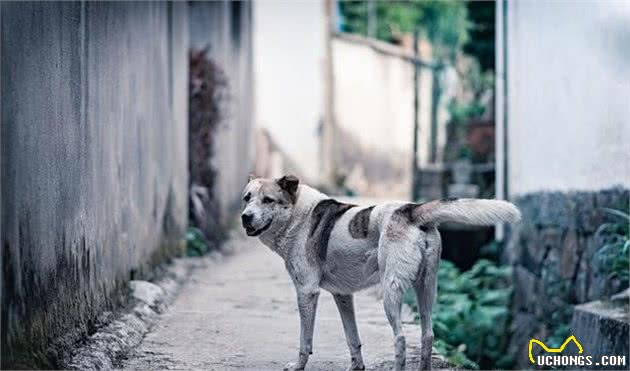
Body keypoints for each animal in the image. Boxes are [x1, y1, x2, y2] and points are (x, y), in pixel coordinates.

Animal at [242, 176, 524, 370]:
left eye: (268, 200)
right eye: (247, 198)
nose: (245, 217)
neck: (297, 215)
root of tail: (410, 210)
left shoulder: (307, 292)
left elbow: (305, 341)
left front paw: (298, 366)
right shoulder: (343, 296)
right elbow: (352, 338)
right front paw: (357, 367)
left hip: (391, 292)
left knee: (400, 339)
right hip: (426, 289)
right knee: (428, 335)